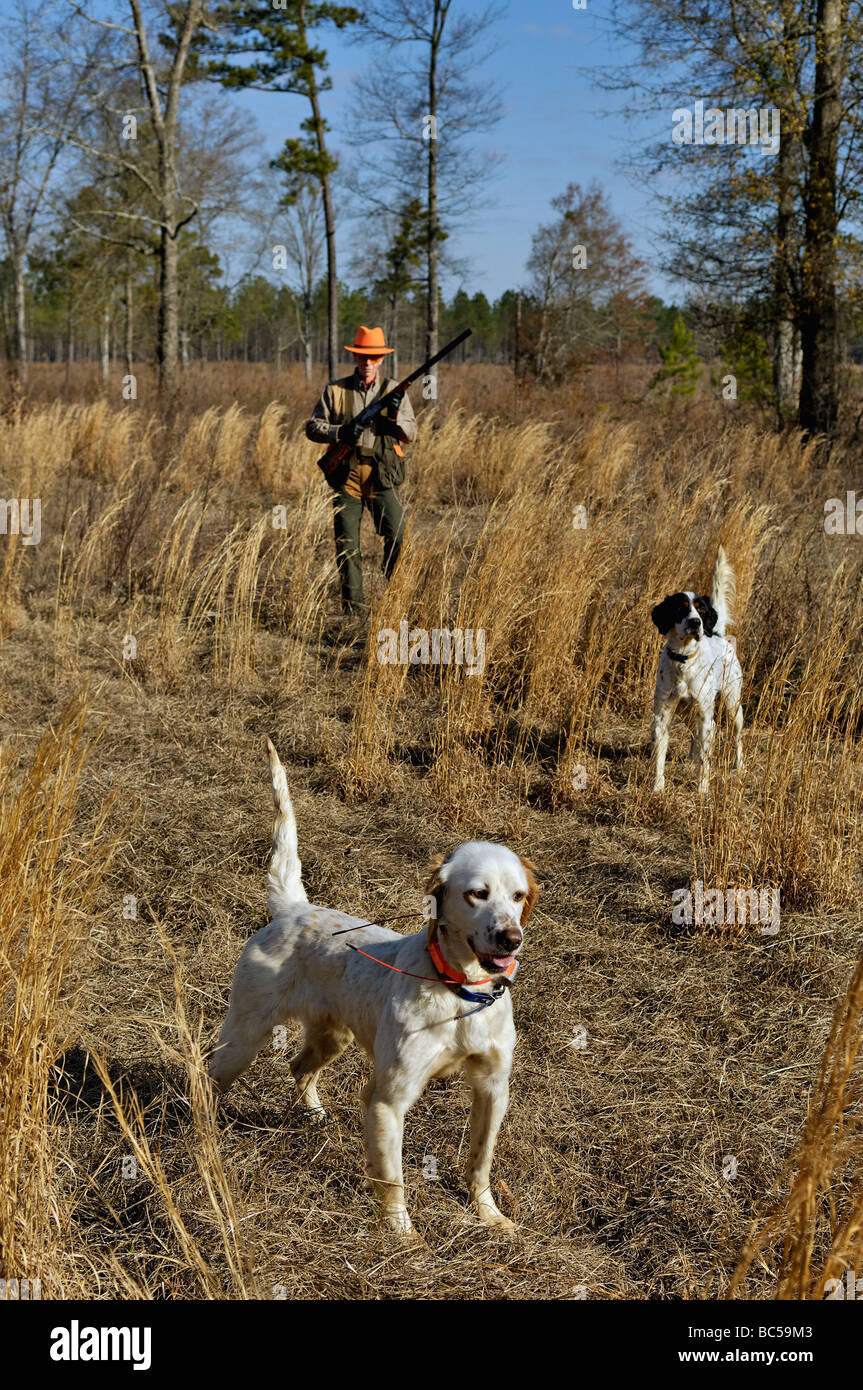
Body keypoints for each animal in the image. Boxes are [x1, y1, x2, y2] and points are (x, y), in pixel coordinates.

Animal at [208, 739, 536, 1239]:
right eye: (477, 894)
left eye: (517, 896)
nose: (510, 938)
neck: (458, 992)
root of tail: (292, 907)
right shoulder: (387, 1099)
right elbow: (392, 1177)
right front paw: (402, 1236)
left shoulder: (493, 1088)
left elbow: (480, 1162)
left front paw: (489, 1215)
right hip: (243, 1038)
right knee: (208, 1076)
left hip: (333, 1036)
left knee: (298, 1067)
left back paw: (313, 1117)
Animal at [650, 547, 744, 800]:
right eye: (680, 607)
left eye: (701, 609)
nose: (696, 622)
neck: (684, 661)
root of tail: (719, 635)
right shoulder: (662, 715)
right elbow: (659, 756)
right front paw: (657, 787)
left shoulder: (705, 712)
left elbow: (706, 759)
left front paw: (702, 789)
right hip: (689, 710)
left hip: (732, 704)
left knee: (735, 735)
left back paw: (739, 766)